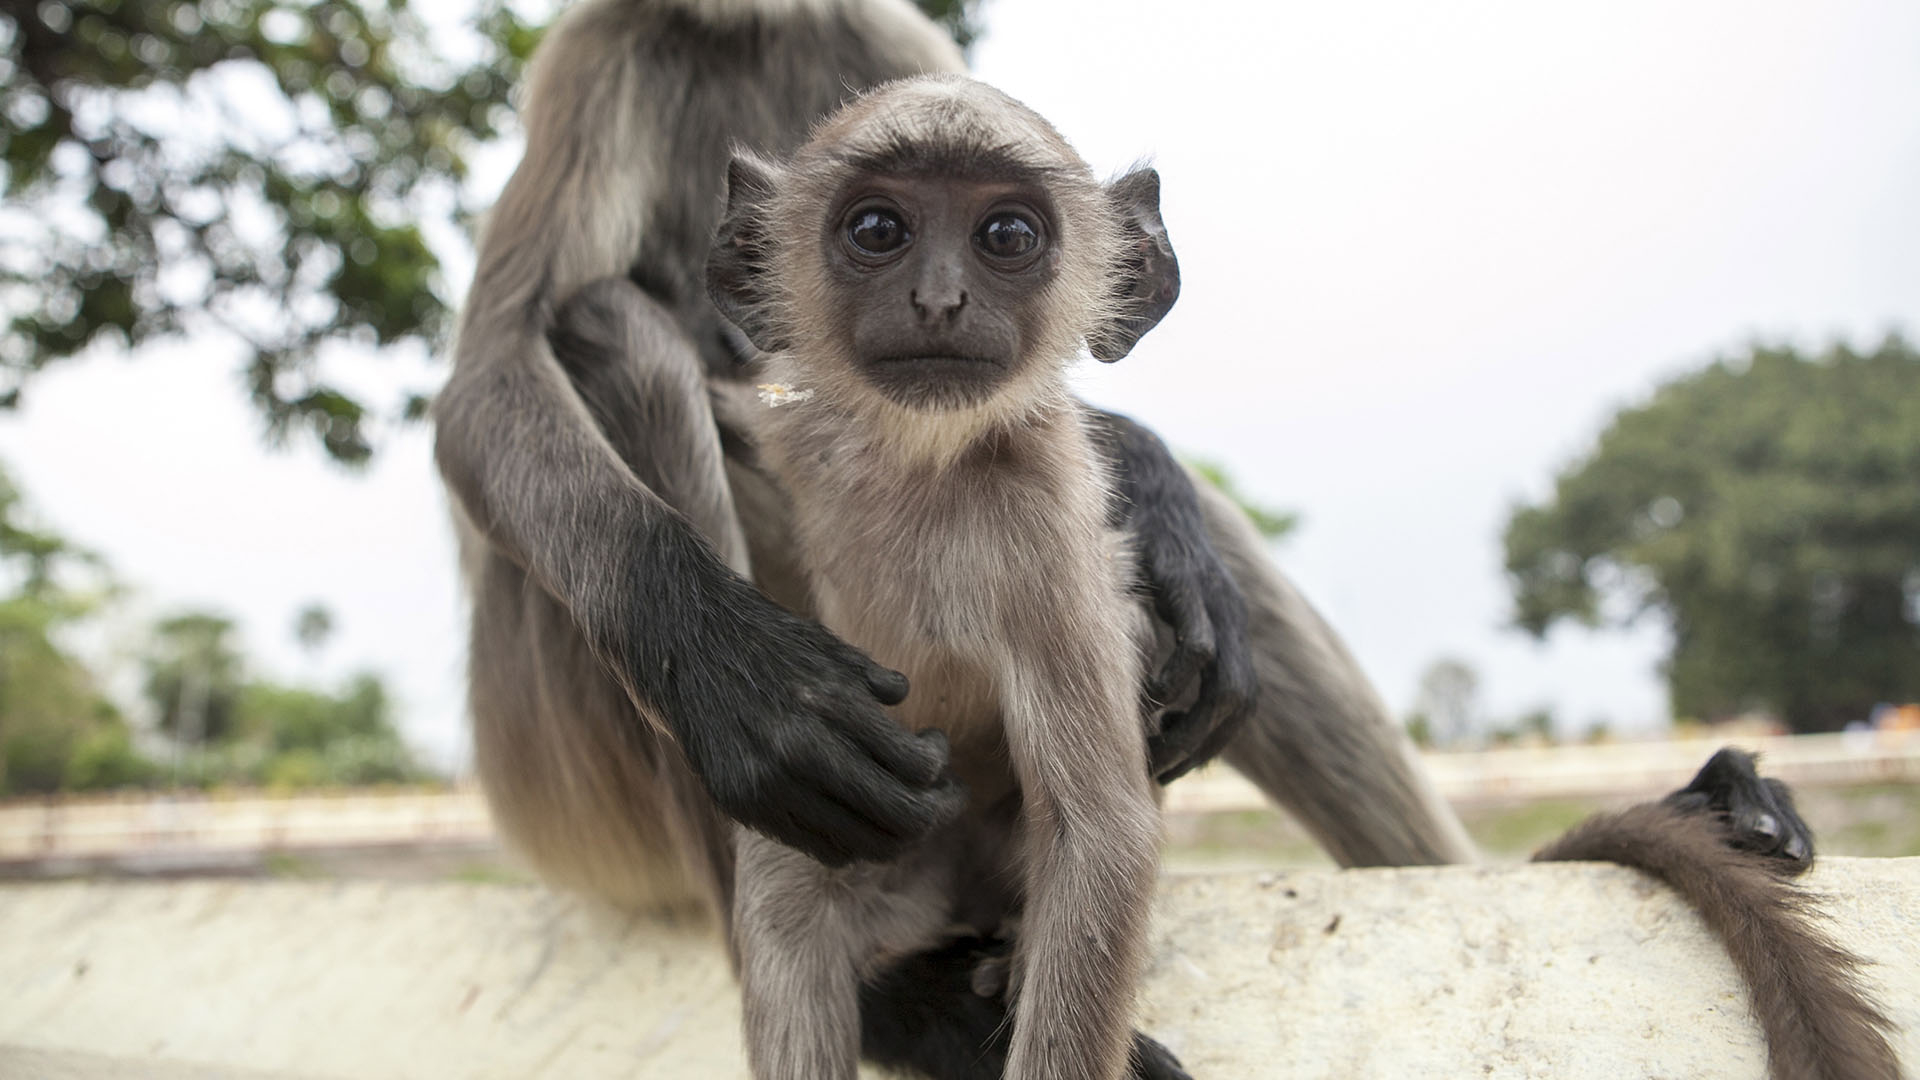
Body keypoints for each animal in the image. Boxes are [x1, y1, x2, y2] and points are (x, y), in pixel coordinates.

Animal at [706, 77, 1175, 1076]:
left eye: (1008, 236)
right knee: (787, 875)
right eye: (879, 228)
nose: (938, 300)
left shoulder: (1038, 510)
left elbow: (1102, 837)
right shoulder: (796, 424)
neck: (920, 463)